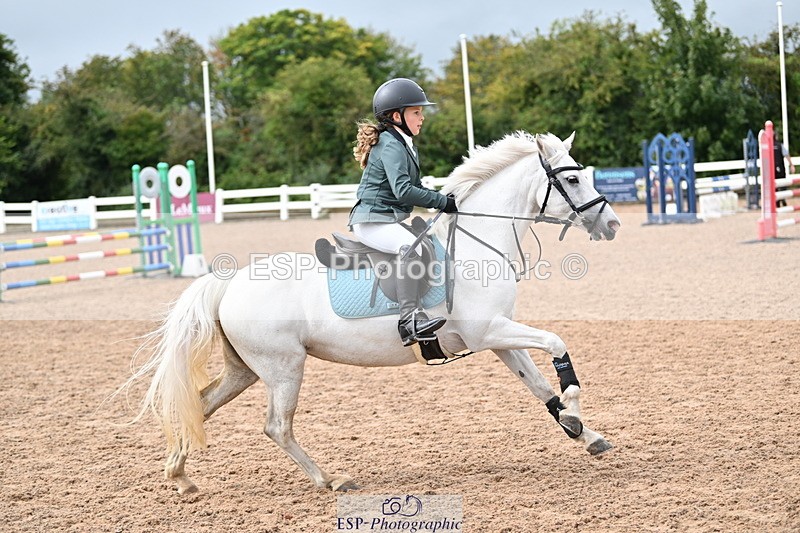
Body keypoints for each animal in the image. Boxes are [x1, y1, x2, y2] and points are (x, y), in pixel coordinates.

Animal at [125, 131, 621, 494]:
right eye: (572, 181)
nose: (612, 224)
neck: (478, 242)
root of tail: (229, 283)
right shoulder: (491, 332)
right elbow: (557, 346)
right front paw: (577, 412)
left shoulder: (498, 339)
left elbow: (540, 388)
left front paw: (584, 433)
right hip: (284, 367)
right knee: (277, 427)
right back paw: (330, 480)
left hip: (245, 369)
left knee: (202, 403)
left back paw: (180, 477)